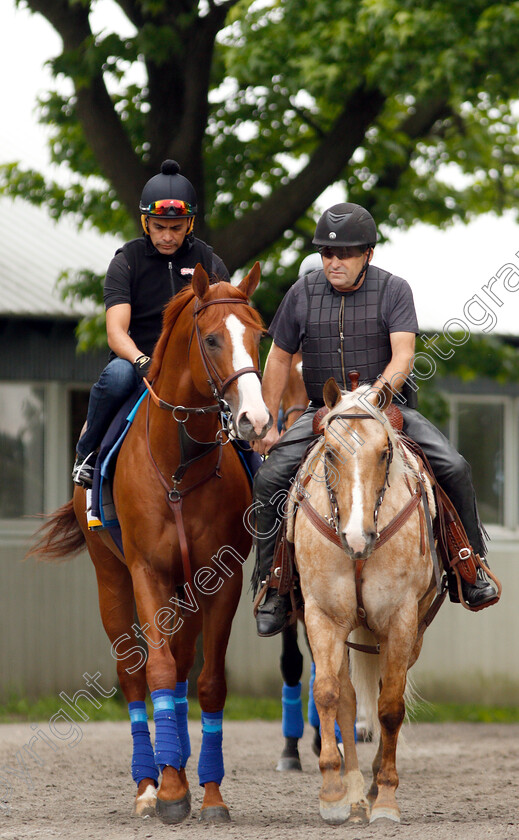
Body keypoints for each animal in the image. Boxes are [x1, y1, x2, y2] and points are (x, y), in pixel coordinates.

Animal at [27, 266, 272, 824]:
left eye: (259, 335)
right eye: (212, 338)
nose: (255, 420)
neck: (179, 464)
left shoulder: (220, 581)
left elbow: (207, 682)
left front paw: (208, 794)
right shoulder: (146, 573)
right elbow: (155, 670)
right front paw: (170, 793)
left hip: (186, 591)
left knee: (181, 672)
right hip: (111, 580)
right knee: (135, 675)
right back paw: (147, 783)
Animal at [288, 380, 438, 828]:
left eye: (384, 452)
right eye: (330, 452)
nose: (358, 537)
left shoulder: (401, 620)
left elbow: (389, 706)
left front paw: (385, 797)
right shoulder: (322, 616)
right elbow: (328, 695)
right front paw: (333, 794)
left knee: (386, 690)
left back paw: (371, 787)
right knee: (348, 698)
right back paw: (355, 792)